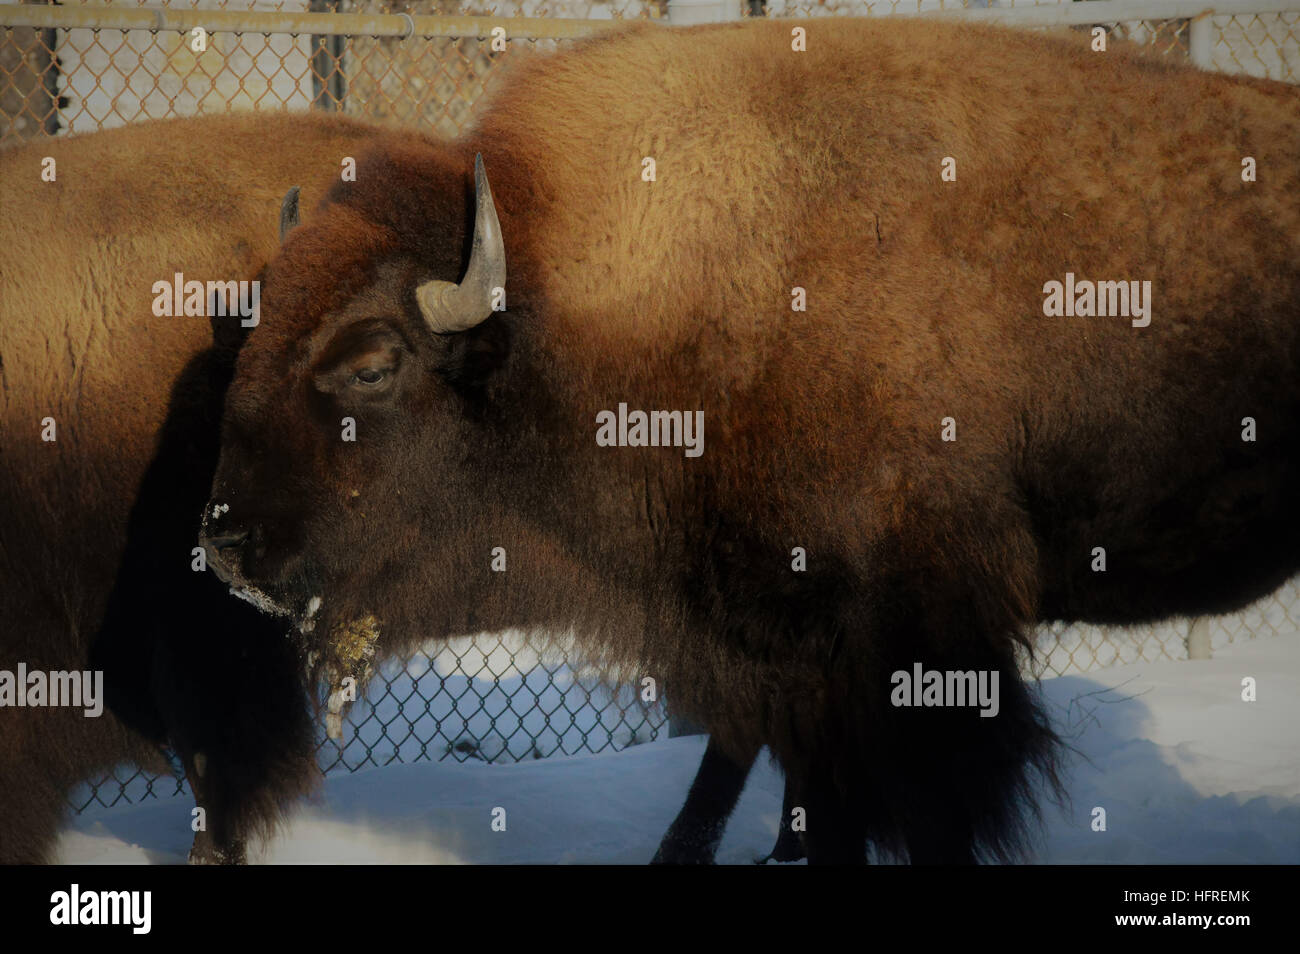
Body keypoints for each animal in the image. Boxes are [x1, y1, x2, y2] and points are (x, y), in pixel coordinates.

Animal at [202, 18, 1300, 863]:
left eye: (373, 361)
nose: (224, 545)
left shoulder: (913, 643)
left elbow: (915, 811)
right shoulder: (784, 653)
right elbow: (810, 803)